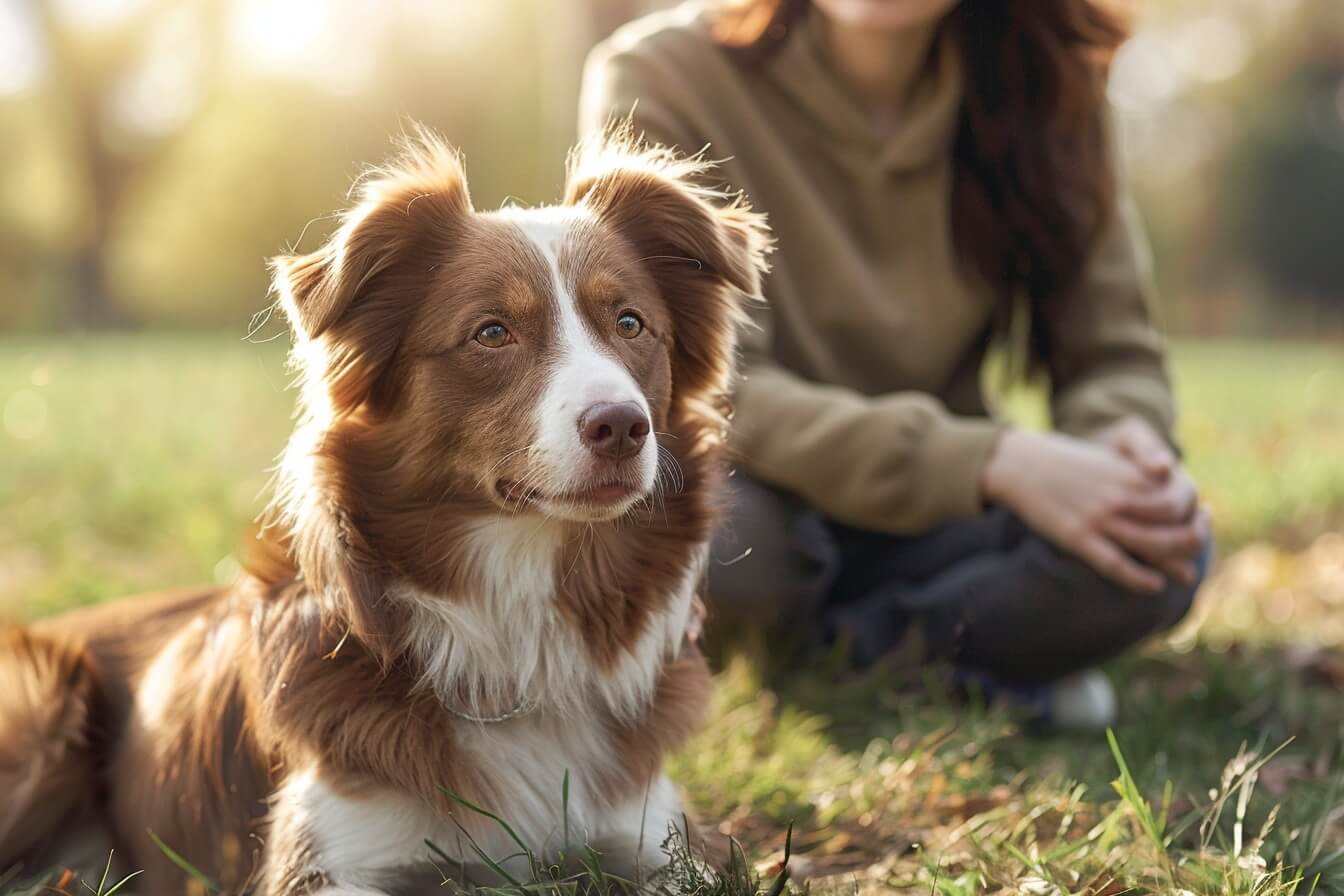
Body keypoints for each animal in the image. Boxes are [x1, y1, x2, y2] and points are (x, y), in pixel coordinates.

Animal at [0, 127, 774, 896]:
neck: (521, 647)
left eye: (631, 324)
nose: (622, 426)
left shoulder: (663, 845)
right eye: (492, 333)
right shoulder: (329, 864)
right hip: (43, 705)